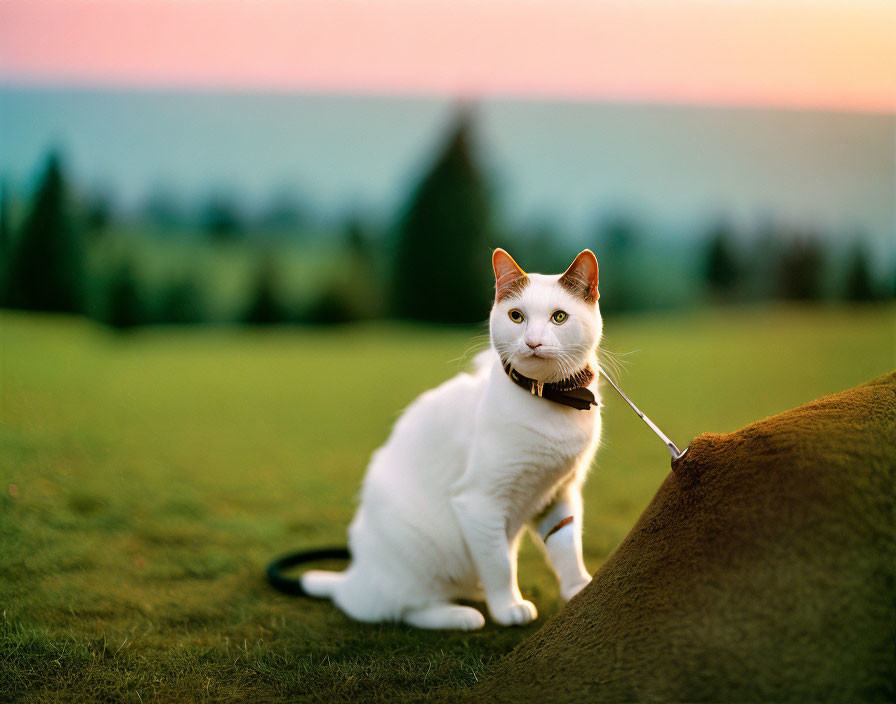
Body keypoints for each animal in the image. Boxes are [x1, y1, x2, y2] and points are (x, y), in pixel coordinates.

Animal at [304, 249, 604, 632]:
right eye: (516, 316)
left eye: (559, 317)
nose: (533, 342)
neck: (552, 400)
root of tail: (353, 578)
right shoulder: (479, 503)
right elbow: (500, 564)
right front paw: (508, 607)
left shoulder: (561, 493)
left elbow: (567, 548)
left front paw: (579, 589)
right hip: (420, 549)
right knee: (399, 608)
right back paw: (462, 615)